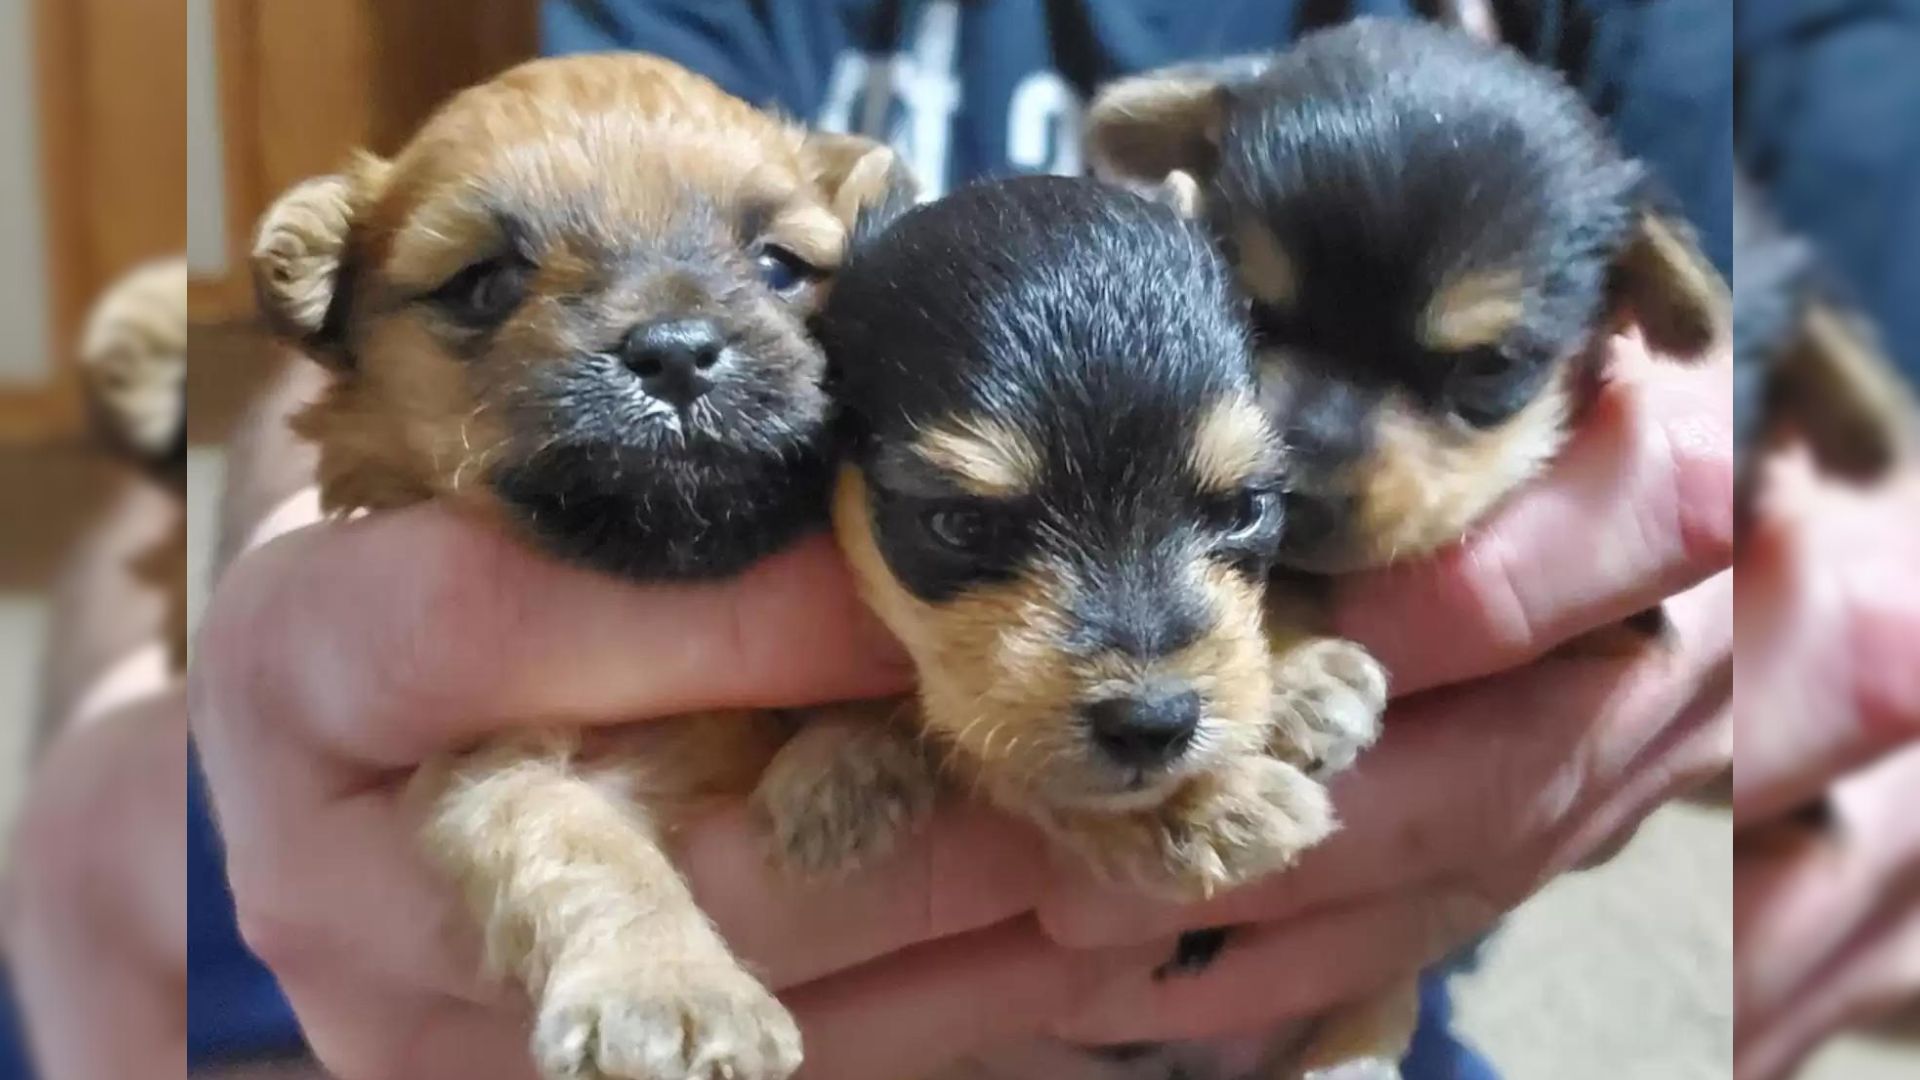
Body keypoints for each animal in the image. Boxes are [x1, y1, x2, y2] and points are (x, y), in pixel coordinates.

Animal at [249, 54, 906, 1076]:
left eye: (778, 266)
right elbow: (571, 837)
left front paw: (848, 771)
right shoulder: (484, 759)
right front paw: (669, 989)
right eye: (482, 284)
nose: (676, 352)